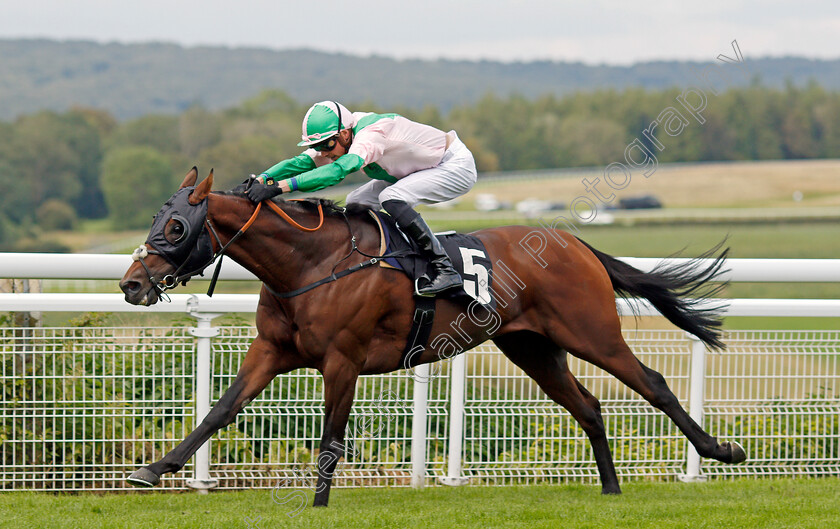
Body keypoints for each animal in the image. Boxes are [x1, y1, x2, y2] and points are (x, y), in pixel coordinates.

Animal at [120, 167, 748, 506]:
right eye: (154, 218)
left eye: (175, 226)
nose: (130, 283)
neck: (309, 263)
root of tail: (574, 243)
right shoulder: (273, 352)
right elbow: (220, 409)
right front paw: (154, 469)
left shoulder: (342, 360)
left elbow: (331, 441)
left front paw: (318, 504)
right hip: (532, 347)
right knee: (589, 406)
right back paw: (612, 490)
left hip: (592, 332)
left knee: (653, 382)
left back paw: (721, 450)